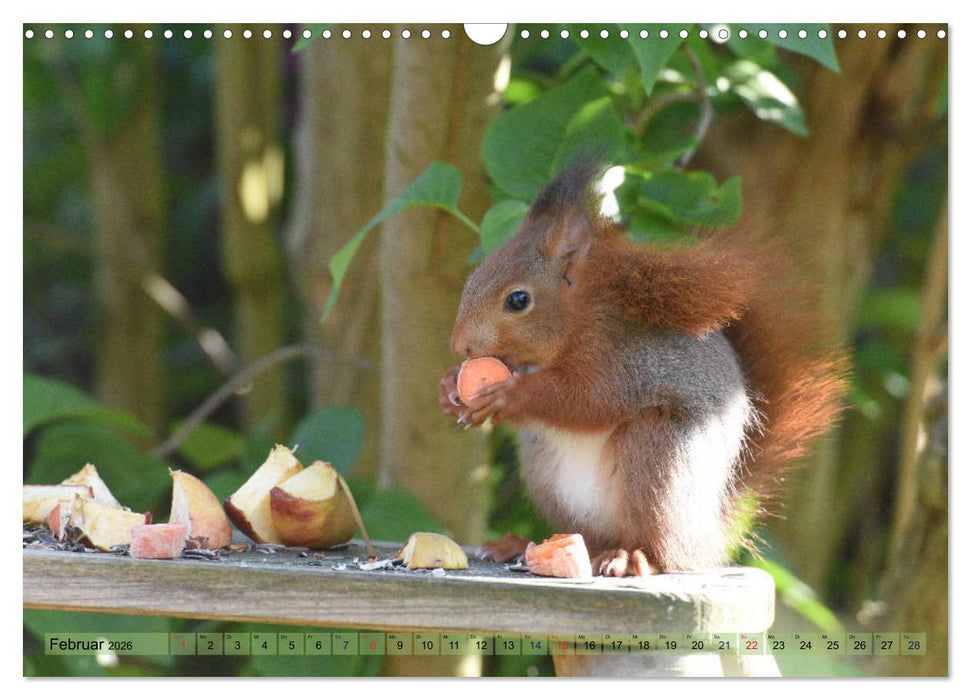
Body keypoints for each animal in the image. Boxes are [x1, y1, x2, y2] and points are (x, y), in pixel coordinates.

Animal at [438, 157, 847, 576]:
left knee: (663, 550)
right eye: (471, 279)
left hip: (660, 455)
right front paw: (450, 387)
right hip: (544, 472)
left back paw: (632, 558)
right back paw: (524, 545)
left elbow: (588, 401)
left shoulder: (624, 361)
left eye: (518, 300)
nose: (459, 345)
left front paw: (510, 395)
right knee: (590, 536)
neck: (574, 327)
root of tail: (707, 536)